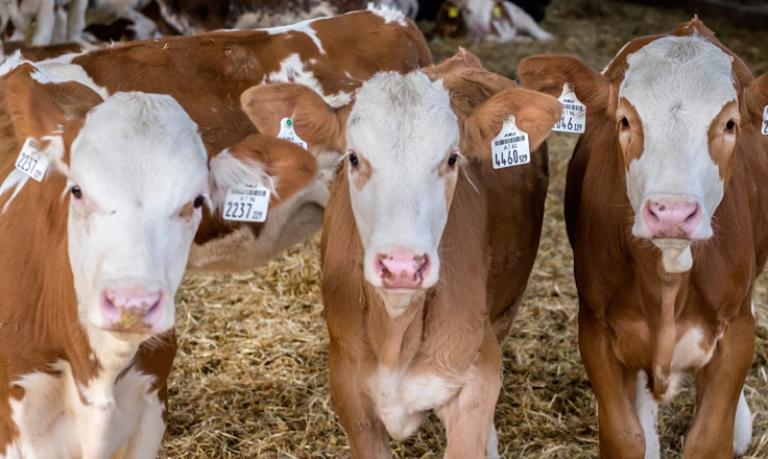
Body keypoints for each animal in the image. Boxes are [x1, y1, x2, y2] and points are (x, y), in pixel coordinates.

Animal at [242, 49, 562, 458]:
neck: (395, 329)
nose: (402, 266)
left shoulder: (476, 378)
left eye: (452, 159)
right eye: (353, 158)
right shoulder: (348, 388)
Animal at [517, 18, 768, 458]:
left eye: (730, 123)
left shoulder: (735, 330)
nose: (672, 212)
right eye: (624, 120)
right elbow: (625, 436)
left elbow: (708, 439)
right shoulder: (595, 329)